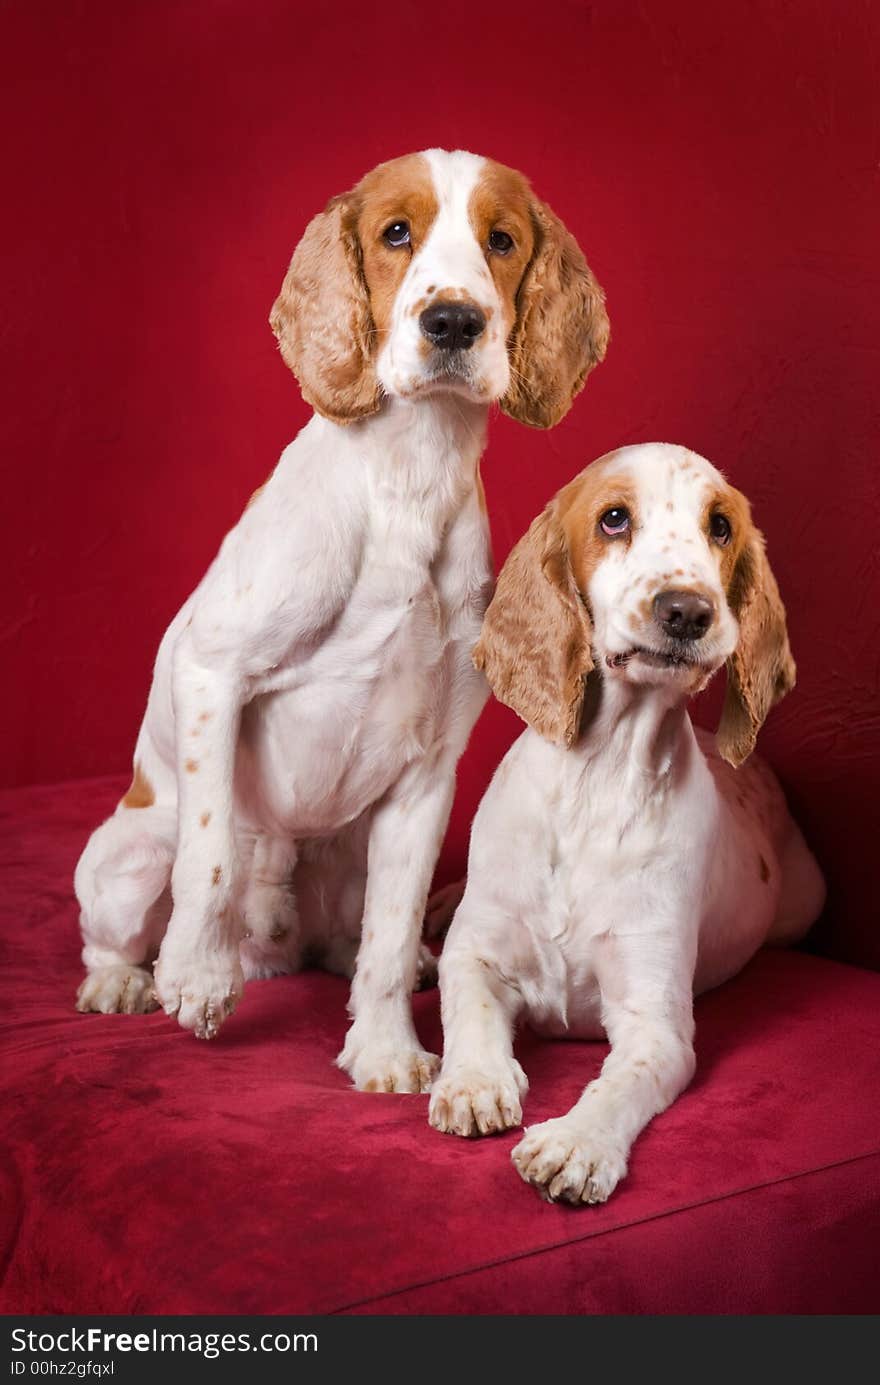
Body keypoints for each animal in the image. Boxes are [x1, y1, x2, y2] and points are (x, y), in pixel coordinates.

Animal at [72, 148, 609, 1091]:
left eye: (502, 240)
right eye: (396, 232)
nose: (454, 321)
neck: (407, 480)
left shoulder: (428, 772)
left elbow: (389, 936)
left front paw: (387, 1048)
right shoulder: (213, 670)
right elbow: (211, 852)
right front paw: (196, 973)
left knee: (354, 944)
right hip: (130, 851)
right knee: (113, 922)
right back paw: (122, 979)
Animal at [429, 443, 825, 1191]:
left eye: (720, 527)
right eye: (614, 518)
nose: (688, 611)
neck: (601, 776)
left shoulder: (656, 1022)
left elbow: (621, 1081)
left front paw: (576, 1142)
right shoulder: (478, 951)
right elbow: (469, 1010)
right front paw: (473, 1081)